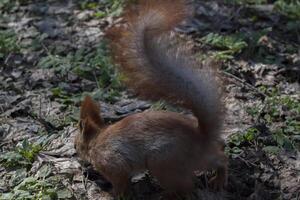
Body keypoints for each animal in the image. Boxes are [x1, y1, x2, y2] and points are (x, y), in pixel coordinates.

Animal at [75, 0, 227, 197]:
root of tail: (201, 138)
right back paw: (219, 179)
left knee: (187, 187)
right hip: (192, 160)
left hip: (162, 163)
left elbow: (120, 182)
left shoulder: (112, 162)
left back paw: (166, 195)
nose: (78, 162)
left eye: (75, 146)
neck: (97, 140)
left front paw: (114, 194)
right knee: (220, 158)